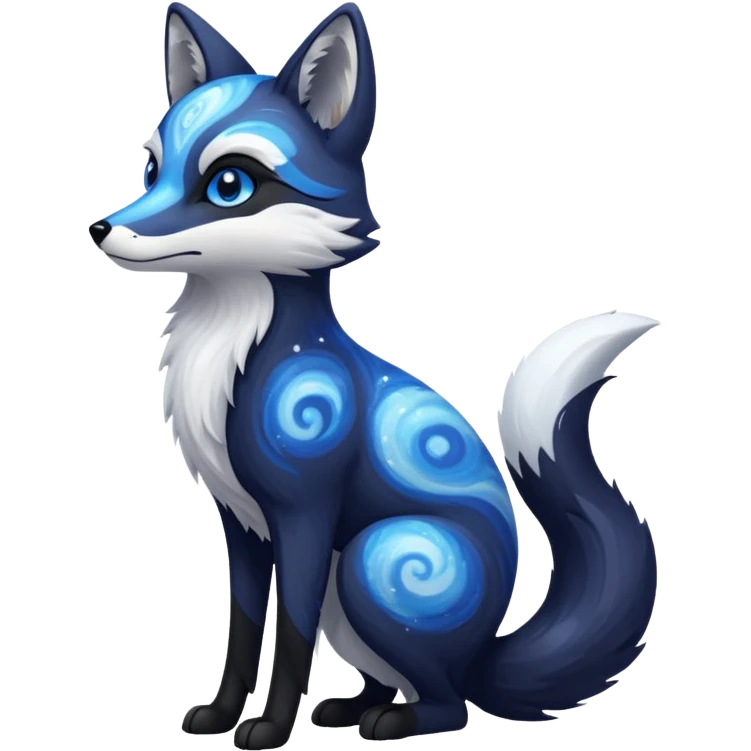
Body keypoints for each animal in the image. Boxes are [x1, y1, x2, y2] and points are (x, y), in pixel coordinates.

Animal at [88, 2, 659, 748]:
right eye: (151, 168)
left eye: (228, 185)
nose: (101, 228)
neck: (229, 351)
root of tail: (485, 652)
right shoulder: (240, 523)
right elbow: (242, 631)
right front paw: (219, 714)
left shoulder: (304, 514)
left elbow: (290, 633)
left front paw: (269, 728)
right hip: (350, 592)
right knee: (397, 680)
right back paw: (349, 709)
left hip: (376, 558)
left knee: (449, 704)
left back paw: (395, 721)